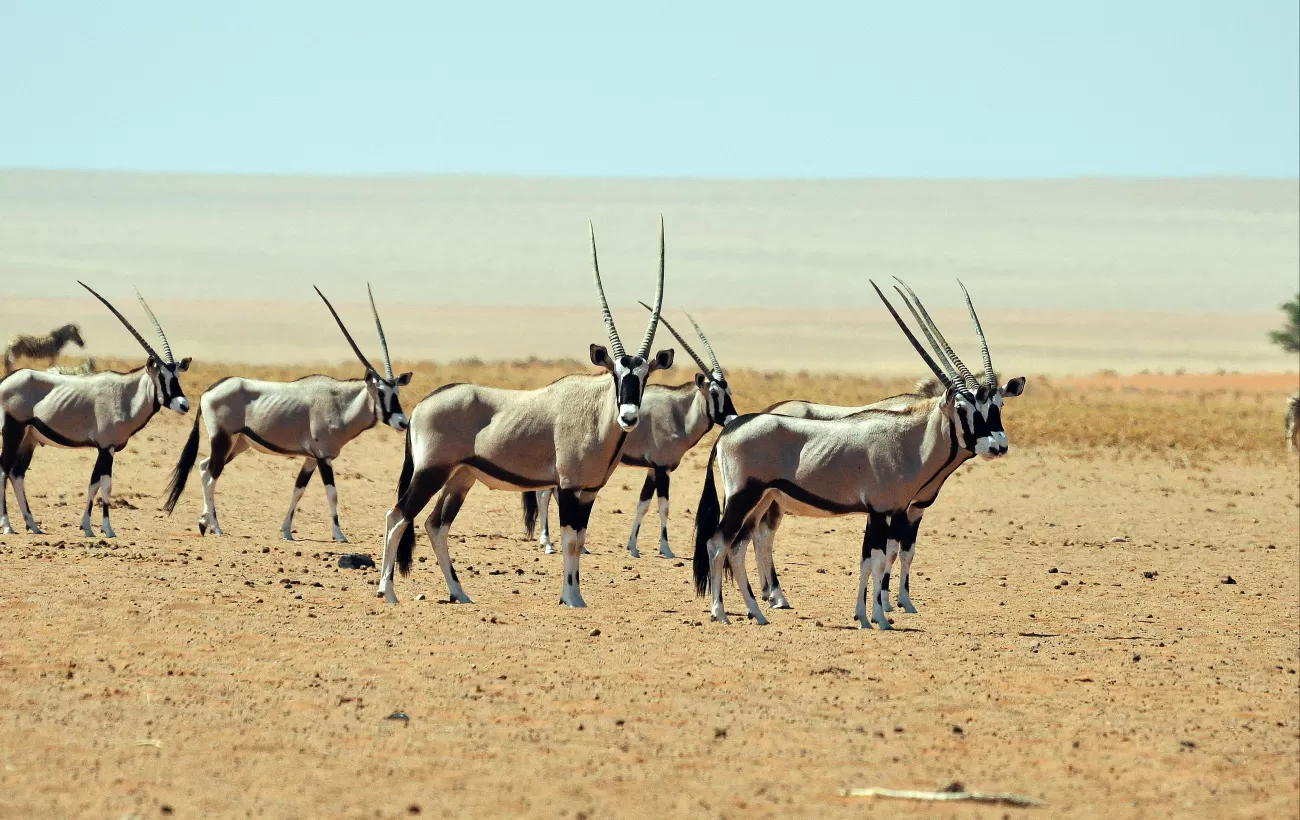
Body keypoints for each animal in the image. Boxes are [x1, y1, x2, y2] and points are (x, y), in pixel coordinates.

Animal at [0, 283, 189, 538]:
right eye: (162, 377)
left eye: (177, 376)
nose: (184, 405)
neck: (126, 395)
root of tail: (6, 381)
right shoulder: (105, 447)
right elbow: (102, 484)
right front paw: (101, 529)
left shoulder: (110, 449)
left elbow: (98, 484)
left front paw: (93, 527)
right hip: (13, 431)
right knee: (4, 470)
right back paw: (7, 525)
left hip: (29, 439)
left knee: (16, 473)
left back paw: (33, 525)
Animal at [162, 285, 408, 543]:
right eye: (381, 392)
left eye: (397, 391)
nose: (403, 422)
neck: (339, 403)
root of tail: (208, 391)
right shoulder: (323, 457)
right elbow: (332, 493)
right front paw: (339, 534)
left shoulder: (311, 458)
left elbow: (298, 490)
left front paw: (287, 530)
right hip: (223, 439)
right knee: (211, 475)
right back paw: (215, 527)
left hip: (237, 444)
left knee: (203, 467)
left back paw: (205, 523)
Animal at [379, 220, 670, 605]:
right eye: (616, 374)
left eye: (644, 375)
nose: (629, 417)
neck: (596, 414)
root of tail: (422, 406)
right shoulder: (568, 487)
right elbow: (569, 541)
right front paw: (570, 598)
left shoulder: (589, 491)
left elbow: (580, 540)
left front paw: (576, 596)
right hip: (431, 471)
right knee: (398, 516)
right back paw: (387, 591)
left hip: (460, 477)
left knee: (435, 524)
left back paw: (459, 592)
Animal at [522, 306, 738, 558]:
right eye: (714, 393)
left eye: (728, 392)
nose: (733, 418)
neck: (679, 413)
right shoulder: (662, 468)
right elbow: (663, 506)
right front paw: (666, 548)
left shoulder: (653, 469)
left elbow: (643, 504)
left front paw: (632, 546)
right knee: (544, 494)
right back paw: (546, 543)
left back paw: (578, 545)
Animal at [691, 281, 1024, 628]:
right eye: (963, 408)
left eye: (998, 405)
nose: (998, 445)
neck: (908, 440)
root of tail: (729, 429)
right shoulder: (881, 511)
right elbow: (879, 559)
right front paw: (879, 615)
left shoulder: (892, 512)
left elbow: (874, 559)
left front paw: (866, 614)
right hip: (744, 497)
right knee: (718, 543)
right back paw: (721, 612)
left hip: (758, 501)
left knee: (737, 547)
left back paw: (756, 611)